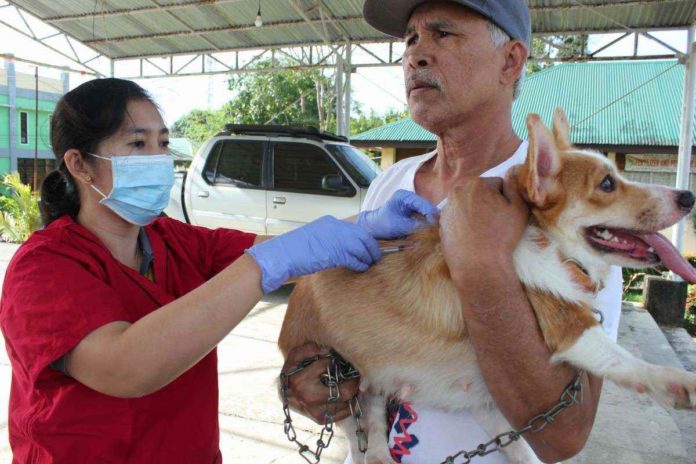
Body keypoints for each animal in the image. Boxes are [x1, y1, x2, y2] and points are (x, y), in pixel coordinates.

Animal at [278, 111, 696, 464]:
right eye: (607, 184)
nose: (688, 196)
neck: (551, 244)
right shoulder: (565, 328)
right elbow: (619, 358)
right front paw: (675, 382)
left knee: (379, 416)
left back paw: (382, 453)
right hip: (336, 376)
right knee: (356, 426)